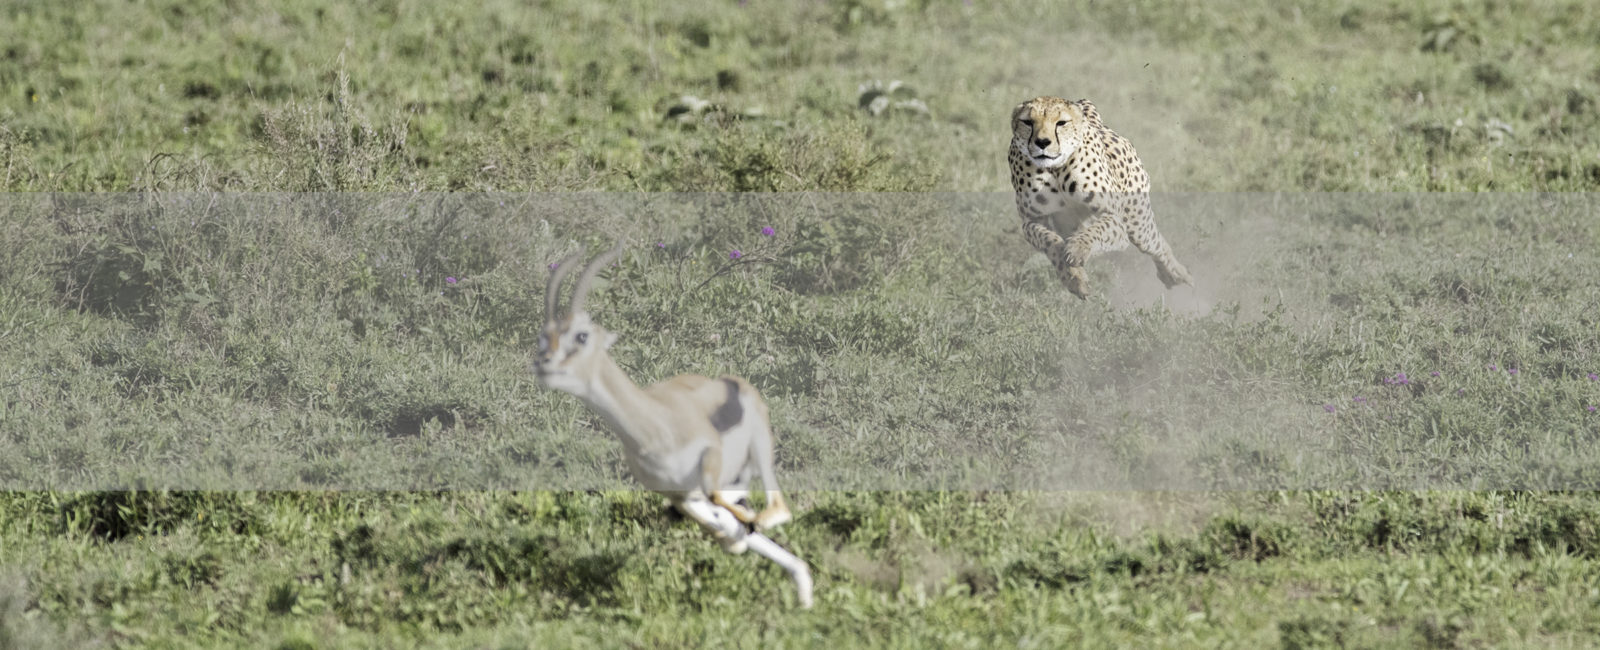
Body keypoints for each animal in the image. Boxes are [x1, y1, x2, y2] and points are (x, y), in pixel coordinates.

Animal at [1011, 96, 1190, 299]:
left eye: (1061, 123)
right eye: (1028, 122)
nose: (1042, 142)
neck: (1055, 169)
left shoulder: (1116, 221)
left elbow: (1098, 230)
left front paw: (1077, 249)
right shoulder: (1031, 221)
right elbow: (1048, 240)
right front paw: (1074, 278)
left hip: (1137, 224)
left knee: (1157, 243)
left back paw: (1175, 274)